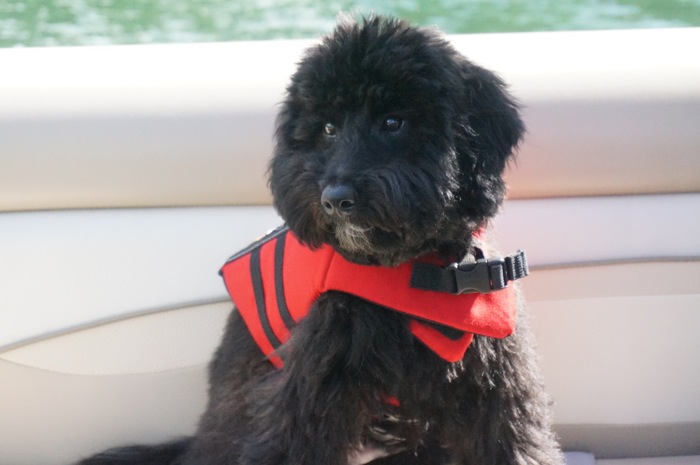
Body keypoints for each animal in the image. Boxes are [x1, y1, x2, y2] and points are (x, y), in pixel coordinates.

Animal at [80, 14, 564, 464]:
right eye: (329, 128)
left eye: (393, 121)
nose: (335, 198)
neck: (415, 271)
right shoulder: (311, 383)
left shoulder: (495, 380)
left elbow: (517, 442)